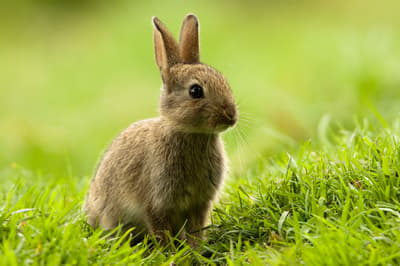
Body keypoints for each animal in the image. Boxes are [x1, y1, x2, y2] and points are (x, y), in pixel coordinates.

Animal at [84, 14, 238, 247]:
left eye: (224, 81)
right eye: (195, 91)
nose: (231, 115)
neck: (191, 133)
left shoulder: (199, 202)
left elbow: (195, 227)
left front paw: (197, 248)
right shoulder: (157, 201)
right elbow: (160, 228)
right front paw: (170, 251)